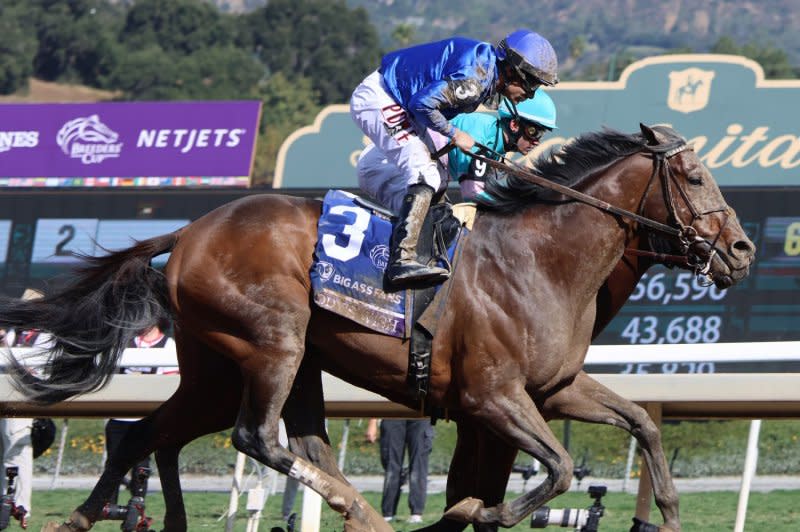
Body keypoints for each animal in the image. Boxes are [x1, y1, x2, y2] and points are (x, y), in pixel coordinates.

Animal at [0, 124, 752, 532]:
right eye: (693, 176)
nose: (741, 250)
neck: (542, 260)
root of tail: (188, 232)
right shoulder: (490, 399)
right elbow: (559, 469)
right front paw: (473, 512)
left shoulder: (554, 388)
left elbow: (643, 423)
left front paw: (667, 513)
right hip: (272, 344)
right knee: (256, 437)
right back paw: (355, 508)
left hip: (223, 369)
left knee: (148, 436)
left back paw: (83, 514)